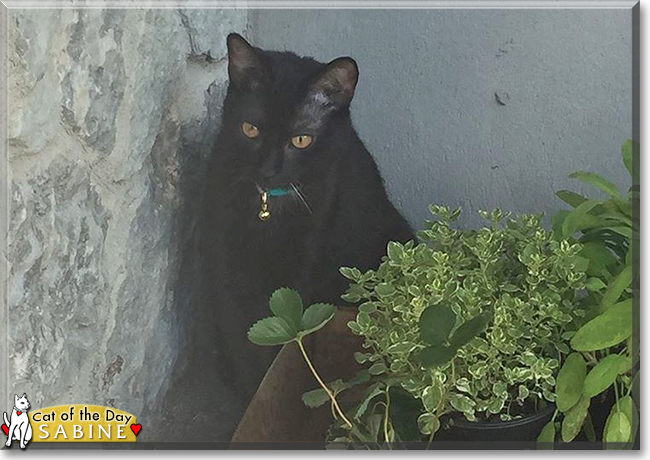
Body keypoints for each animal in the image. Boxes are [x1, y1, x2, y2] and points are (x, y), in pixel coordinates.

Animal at [202, 33, 412, 406]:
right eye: (250, 129)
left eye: (301, 139)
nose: (268, 170)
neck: (269, 210)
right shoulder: (226, 265)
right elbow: (242, 337)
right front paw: (252, 397)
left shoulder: (305, 262)